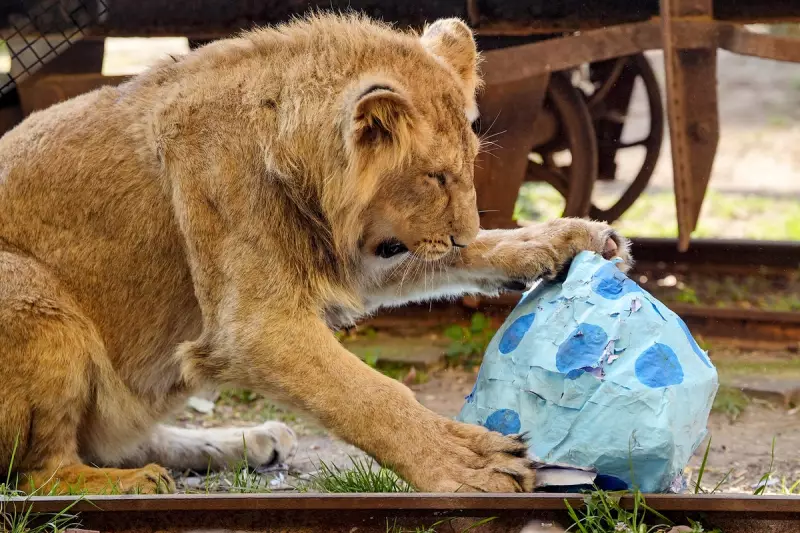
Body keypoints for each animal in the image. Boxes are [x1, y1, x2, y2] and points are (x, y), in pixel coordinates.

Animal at [0, 13, 630, 494]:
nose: (460, 235)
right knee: (41, 472)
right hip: (33, 294)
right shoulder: (255, 327)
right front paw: (466, 464)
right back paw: (135, 482)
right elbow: (370, 394)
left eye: (471, 162)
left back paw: (245, 441)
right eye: (434, 176)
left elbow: (471, 256)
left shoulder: (361, 254)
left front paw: (570, 238)